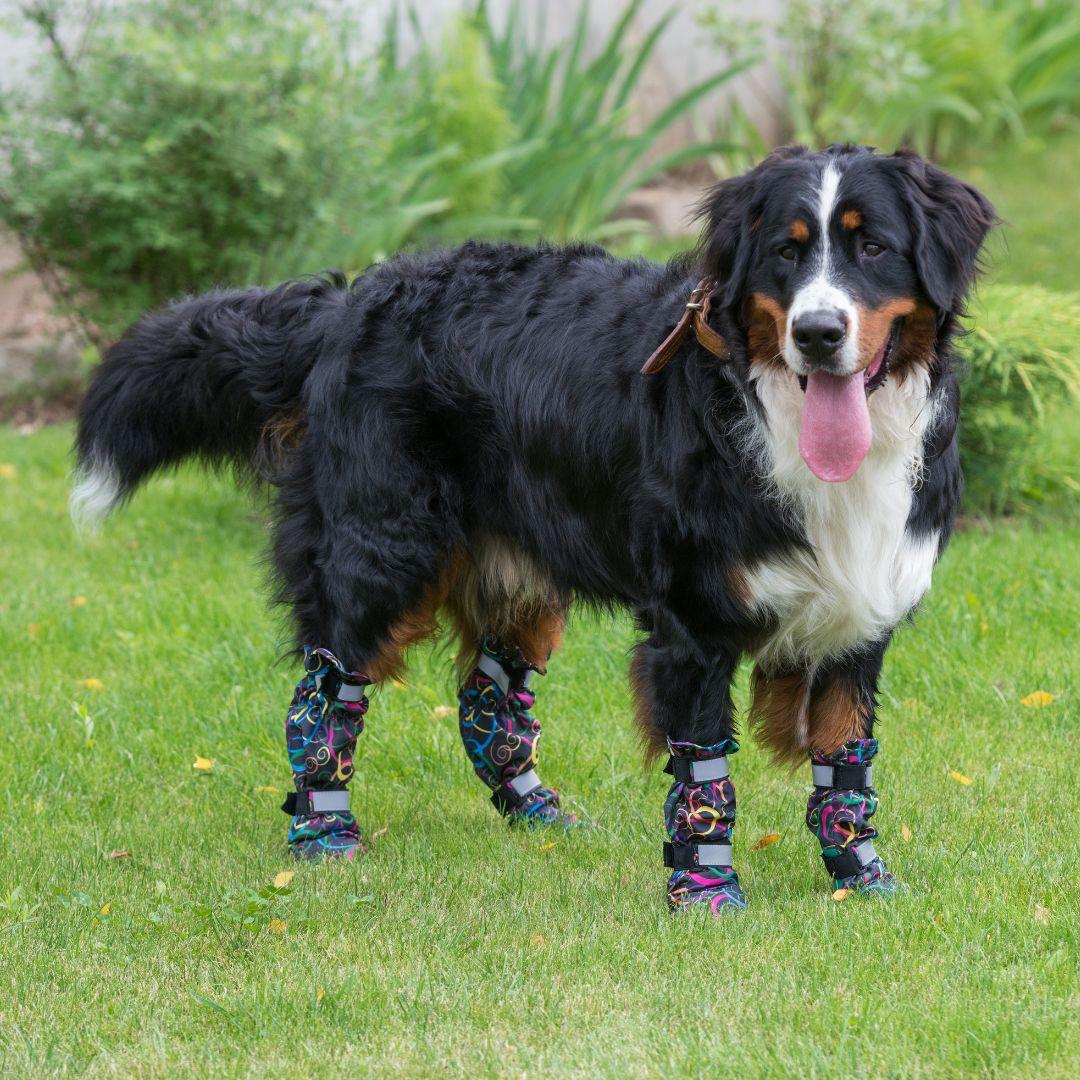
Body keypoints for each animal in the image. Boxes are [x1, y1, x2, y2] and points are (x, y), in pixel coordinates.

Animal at [69, 143, 993, 911]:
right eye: (787, 252)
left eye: (872, 248)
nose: (818, 332)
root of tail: (353, 299)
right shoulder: (693, 626)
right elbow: (705, 775)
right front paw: (704, 891)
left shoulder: (858, 617)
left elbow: (845, 768)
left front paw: (862, 877)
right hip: (381, 550)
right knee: (326, 692)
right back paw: (323, 830)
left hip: (516, 568)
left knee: (489, 699)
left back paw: (538, 814)